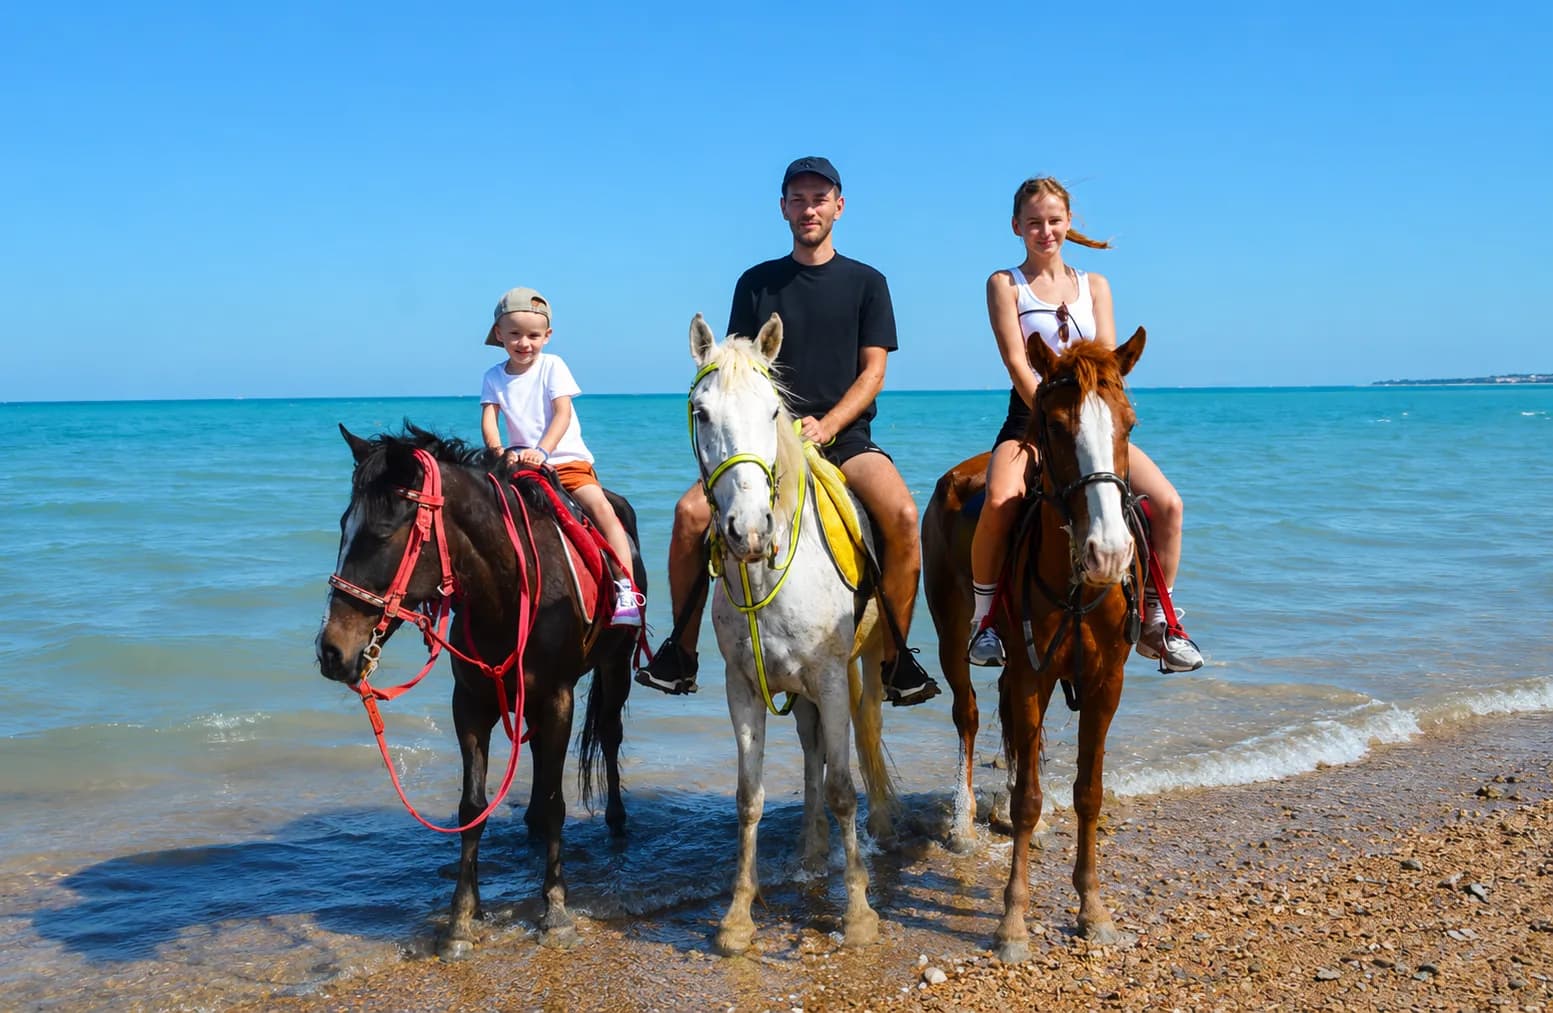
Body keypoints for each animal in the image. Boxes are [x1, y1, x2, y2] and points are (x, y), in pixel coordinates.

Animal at [315, 425, 644, 958]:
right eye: (344, 525)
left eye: (381, 534)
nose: (331, 651)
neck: (507, 587)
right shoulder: (471, 703)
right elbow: (473, 806)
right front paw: (461, 919)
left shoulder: (558, 698)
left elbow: (557, 799)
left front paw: (556, 910)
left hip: (614, 669)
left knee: (609, 738)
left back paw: (615, 818)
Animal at [687, 313, 897, 956]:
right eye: (702, 412)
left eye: (774, 410)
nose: (748, 531)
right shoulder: (743, 689)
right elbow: (749, 797)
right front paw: (736, 918)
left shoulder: (829, 679)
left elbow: (843, 788)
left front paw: (859, 914)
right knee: (810, 750)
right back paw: (810, 853)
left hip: (866, 663)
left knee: (866, 729)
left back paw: (881, 830)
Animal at [922, 330, 1147, 962]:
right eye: (1056, 424)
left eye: (1129, 423)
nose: (1109, 554)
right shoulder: (1031, 674)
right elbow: (1026, 798)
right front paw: (1013, 922)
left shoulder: (1105, 683)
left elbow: (1088, 792)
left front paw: (1093, 911)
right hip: (953, 637)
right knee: (969, 715)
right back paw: (964, 824)